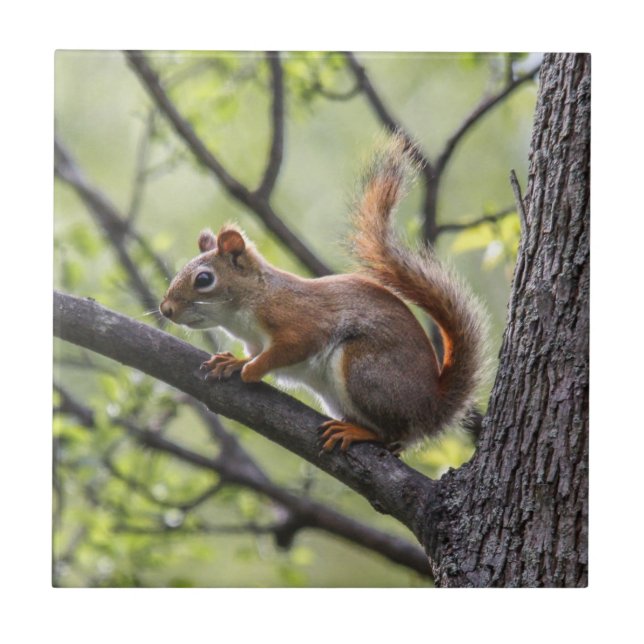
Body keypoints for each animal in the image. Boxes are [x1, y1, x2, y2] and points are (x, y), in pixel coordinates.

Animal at [159, 136, 488, 453]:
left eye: (204, 279)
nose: (166, 309)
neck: (250, 304)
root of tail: (430, 409)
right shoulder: (255, 341)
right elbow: (254, 352)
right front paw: (234, 362)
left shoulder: (296, 320)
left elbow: (291, 346)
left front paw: (252, 369)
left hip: (364, 369)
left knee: (394, 433)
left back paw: (356, 432)